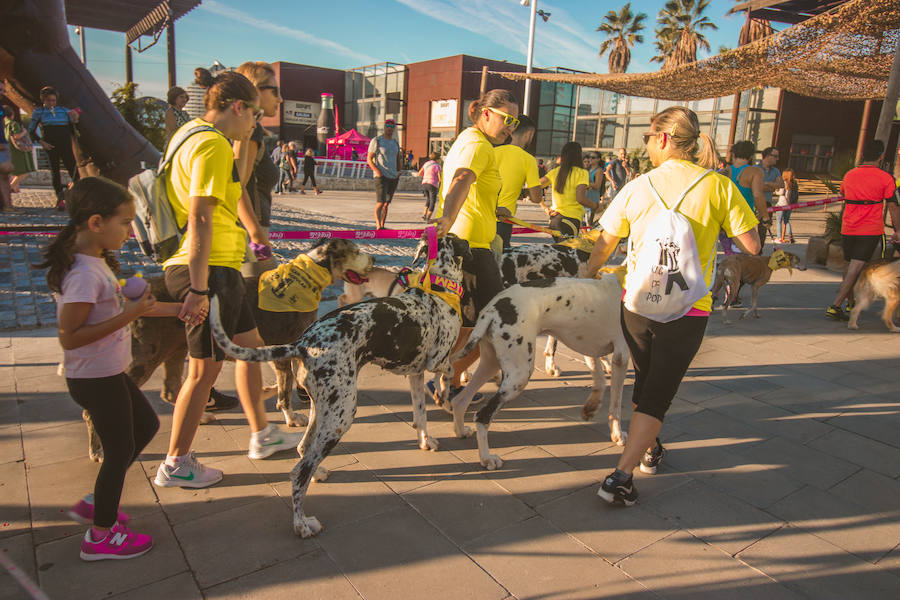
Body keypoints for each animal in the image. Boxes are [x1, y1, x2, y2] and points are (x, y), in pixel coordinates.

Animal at [210, 232, 472, 536]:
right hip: (342, 414)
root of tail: (302, 344)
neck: (437, 288)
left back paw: (318, 474)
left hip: (324, 408)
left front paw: (426, 440)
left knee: (304, 450)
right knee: (299, 471)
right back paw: (302, 524)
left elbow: (420, 414)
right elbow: (449, 371)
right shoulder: (437, 360)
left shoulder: (415, 373)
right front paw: (447, 398)